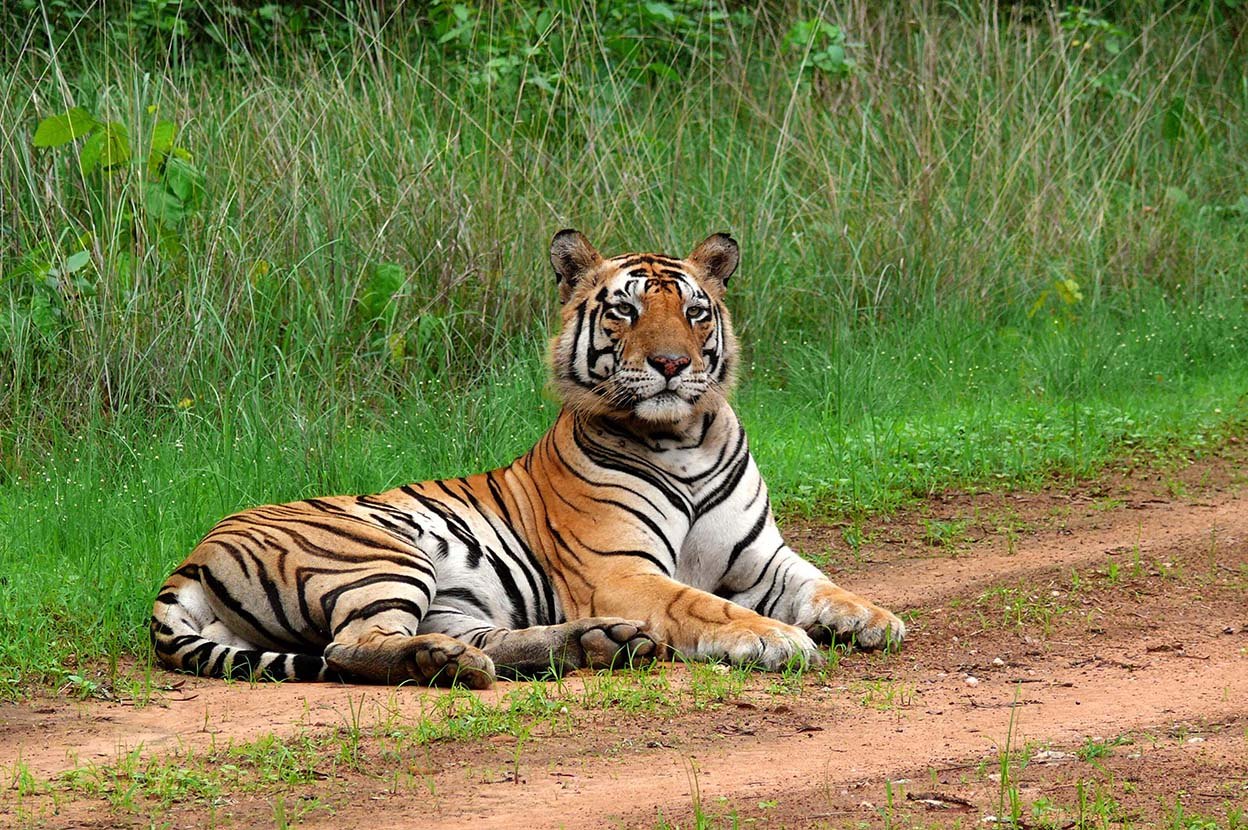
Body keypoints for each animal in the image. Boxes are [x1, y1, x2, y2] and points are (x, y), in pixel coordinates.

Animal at [150, 230, 905, 688]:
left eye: (695, 313)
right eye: (625, 312)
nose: (671, 364)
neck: (683, 438)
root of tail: (194, 551)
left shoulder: (763, 558)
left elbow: (823, 583)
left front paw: (873, 619)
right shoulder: (620, 570)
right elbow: (703, 605)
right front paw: (776, 638)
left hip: (455, 600)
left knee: (490, 641)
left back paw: (599, 644)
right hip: (379, 553)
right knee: (350, 646)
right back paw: (448, 661)